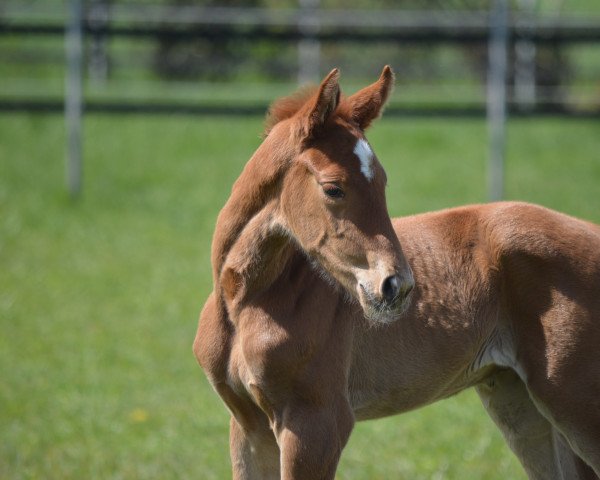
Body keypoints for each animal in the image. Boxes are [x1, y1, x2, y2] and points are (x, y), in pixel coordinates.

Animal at [195, 68, 596, 480]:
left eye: (383, 182)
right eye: (333, 188)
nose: (396, 287)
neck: (244, 302)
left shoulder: (316, 422)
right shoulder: (248, 425)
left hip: (574, 399)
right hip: (518, 400)